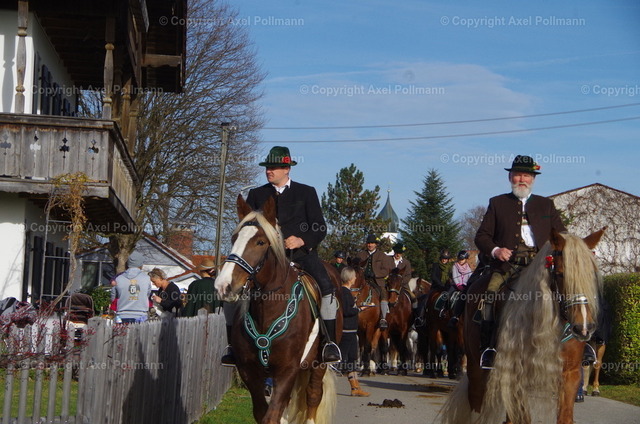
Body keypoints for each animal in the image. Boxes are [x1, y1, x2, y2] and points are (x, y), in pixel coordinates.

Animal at [215, 195, 338, 424]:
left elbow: (272, 415)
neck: (268, 310)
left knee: (313, 395)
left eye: (261, 242)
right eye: (234, 238)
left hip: (318, 364)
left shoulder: (287, 370)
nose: (224, 285)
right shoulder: (250, 372)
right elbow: (262, 413)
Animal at [442, 228, 604, 424]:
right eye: (560, 274)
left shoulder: (570, 373)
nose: (583, 328)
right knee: (476, 401)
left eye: (592, 276)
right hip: (475, 367)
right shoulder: (515, 374)